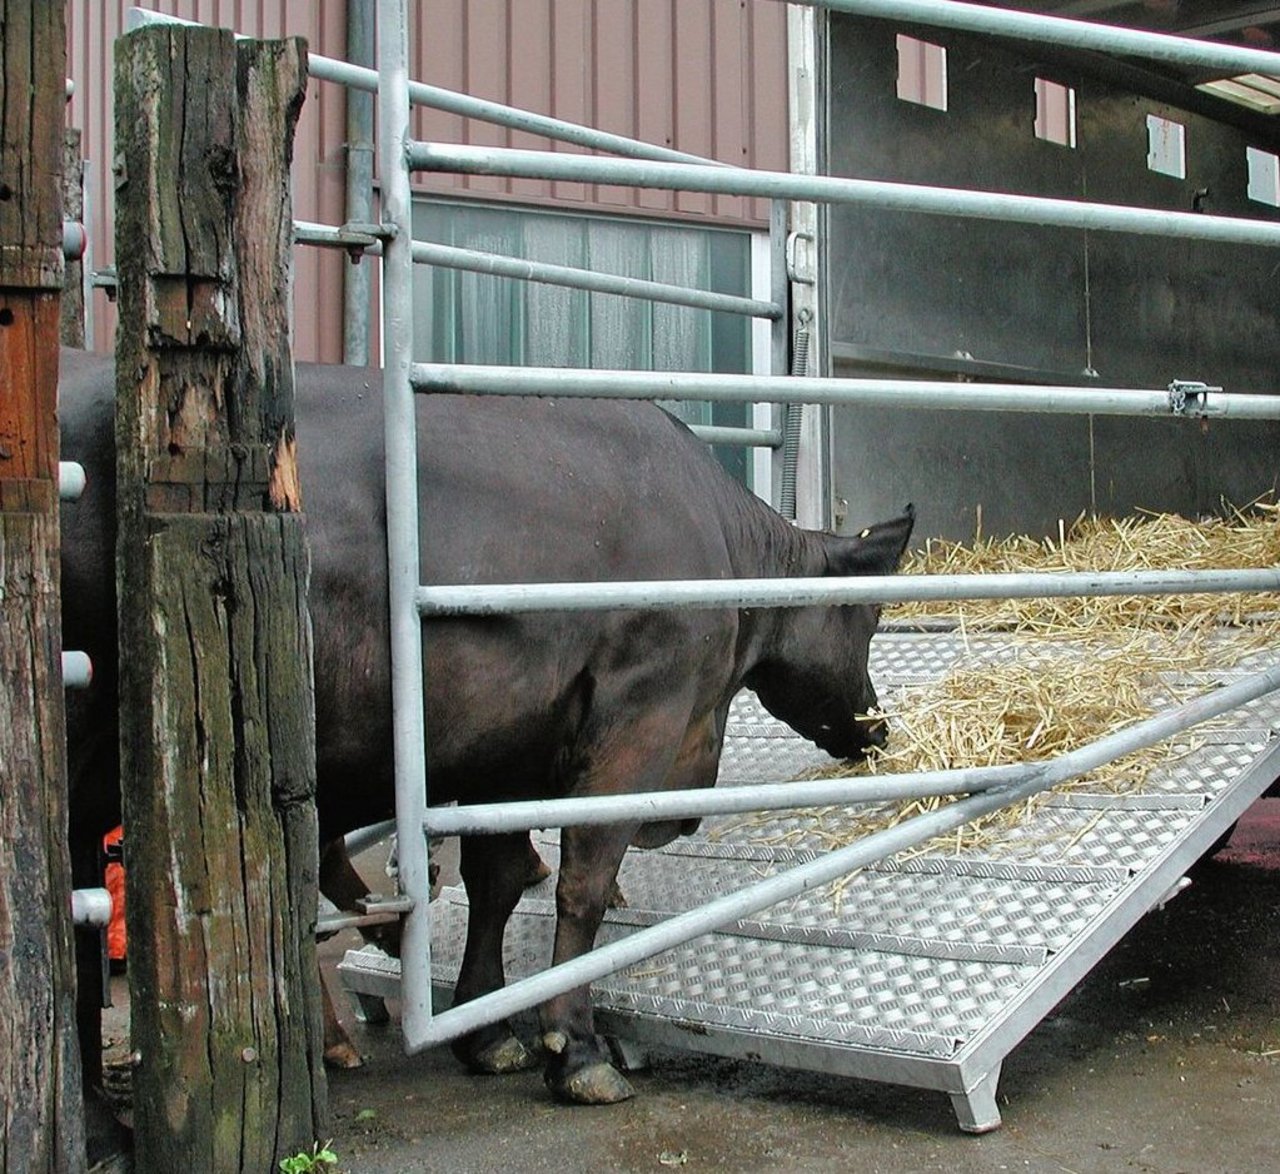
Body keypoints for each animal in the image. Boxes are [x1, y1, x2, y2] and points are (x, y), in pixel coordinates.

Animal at [57, 348, 911, 1106]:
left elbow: (497, 882)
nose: (878, 732)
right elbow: (582, 883)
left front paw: (486, 1031)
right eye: (869, 617)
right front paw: (576, 1047)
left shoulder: (511, 748)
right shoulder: (641, 715)